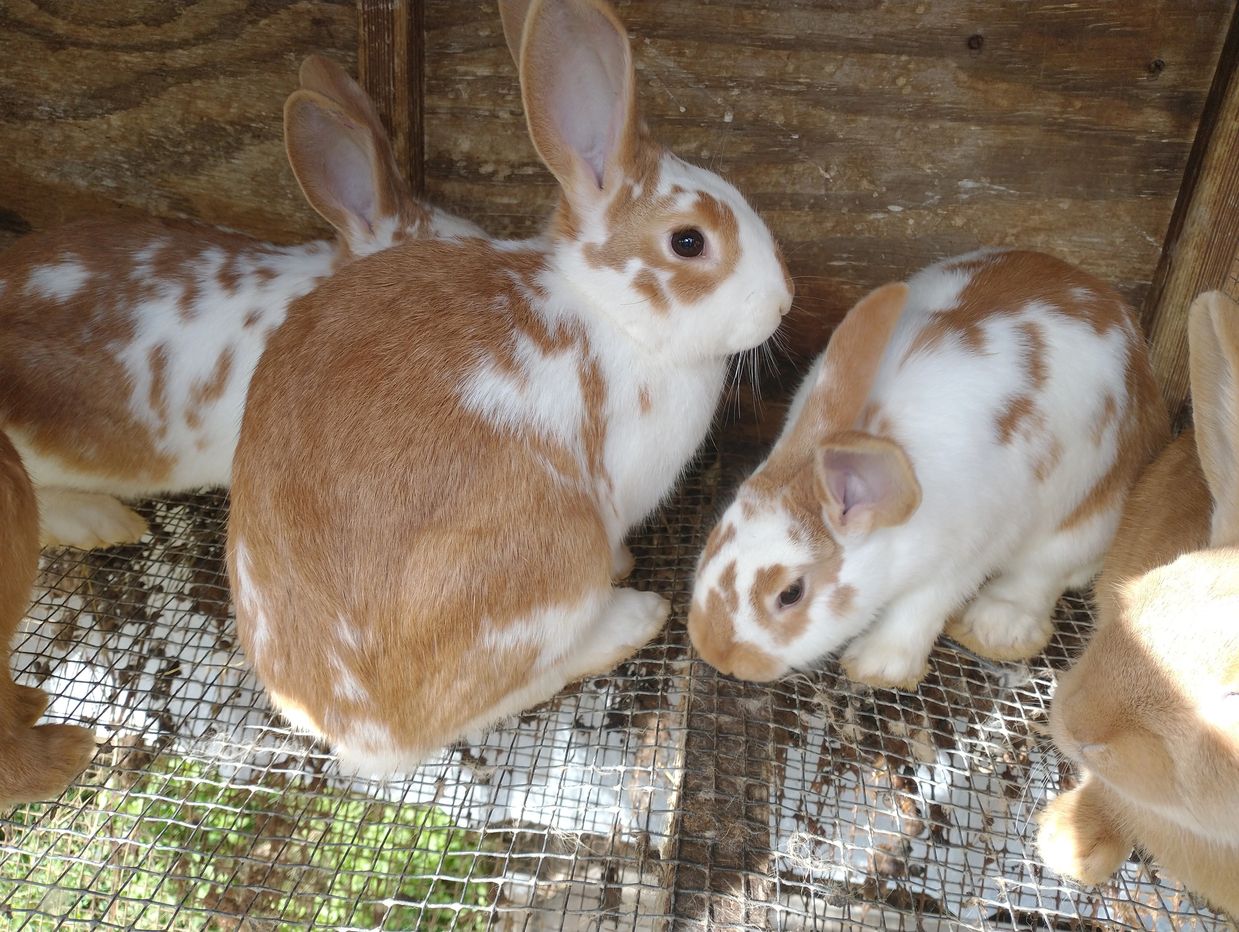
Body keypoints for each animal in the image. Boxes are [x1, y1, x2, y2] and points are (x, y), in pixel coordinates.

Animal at [229, 0, 792, 773]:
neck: (609, 312)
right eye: (688, 242)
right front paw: (627, 567)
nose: (783, 301)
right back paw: (634, 616)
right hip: (550, 557)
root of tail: (361, 730)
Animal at [683, 251, 1164, 689]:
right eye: (713, 537)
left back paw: (996, 626)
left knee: (1043, 573)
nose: (717, 652)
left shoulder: (962, 559)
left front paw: (877, 667)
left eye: (790, 594)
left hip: (1084, 515)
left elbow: (919, 610)